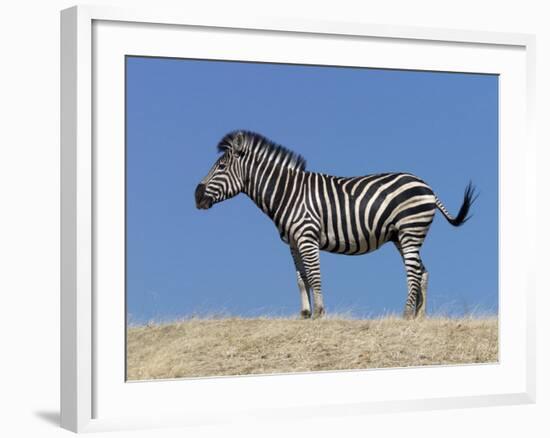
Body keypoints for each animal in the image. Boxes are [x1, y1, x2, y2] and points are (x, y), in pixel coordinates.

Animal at [196, 129, 476, 318]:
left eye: (221, 166)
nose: (196, 196)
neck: (287, 193)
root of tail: (427, 187)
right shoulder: (293, 243)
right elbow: (301, 279)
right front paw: (305, 314)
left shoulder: (308, 236)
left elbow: (314, 275)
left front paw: (320, 312)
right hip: (402, 236)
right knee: (423, 272)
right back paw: (420, 317)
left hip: (410, 230)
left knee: (414, 272)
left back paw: (406, 315)